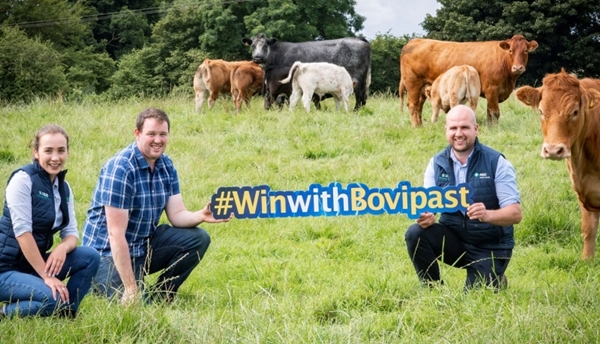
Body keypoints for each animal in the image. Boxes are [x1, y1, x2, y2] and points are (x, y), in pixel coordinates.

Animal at [400, 35, 536, 127]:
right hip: (412, 84)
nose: (517, 67)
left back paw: (420, 125)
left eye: (526, 51)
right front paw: (494, 128)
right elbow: (494, 113)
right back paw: (416, 126)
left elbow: (489, 113)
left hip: (422, 88)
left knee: (419, 106)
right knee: (412, 105)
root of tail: (414, 41)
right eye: (511, 50)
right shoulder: (492, 90)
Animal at [512, 70, 600, 258]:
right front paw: (587, 260)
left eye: (575, 112)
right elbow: (588, 230)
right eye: (541, 111)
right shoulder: (584, 191)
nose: (553, 150)